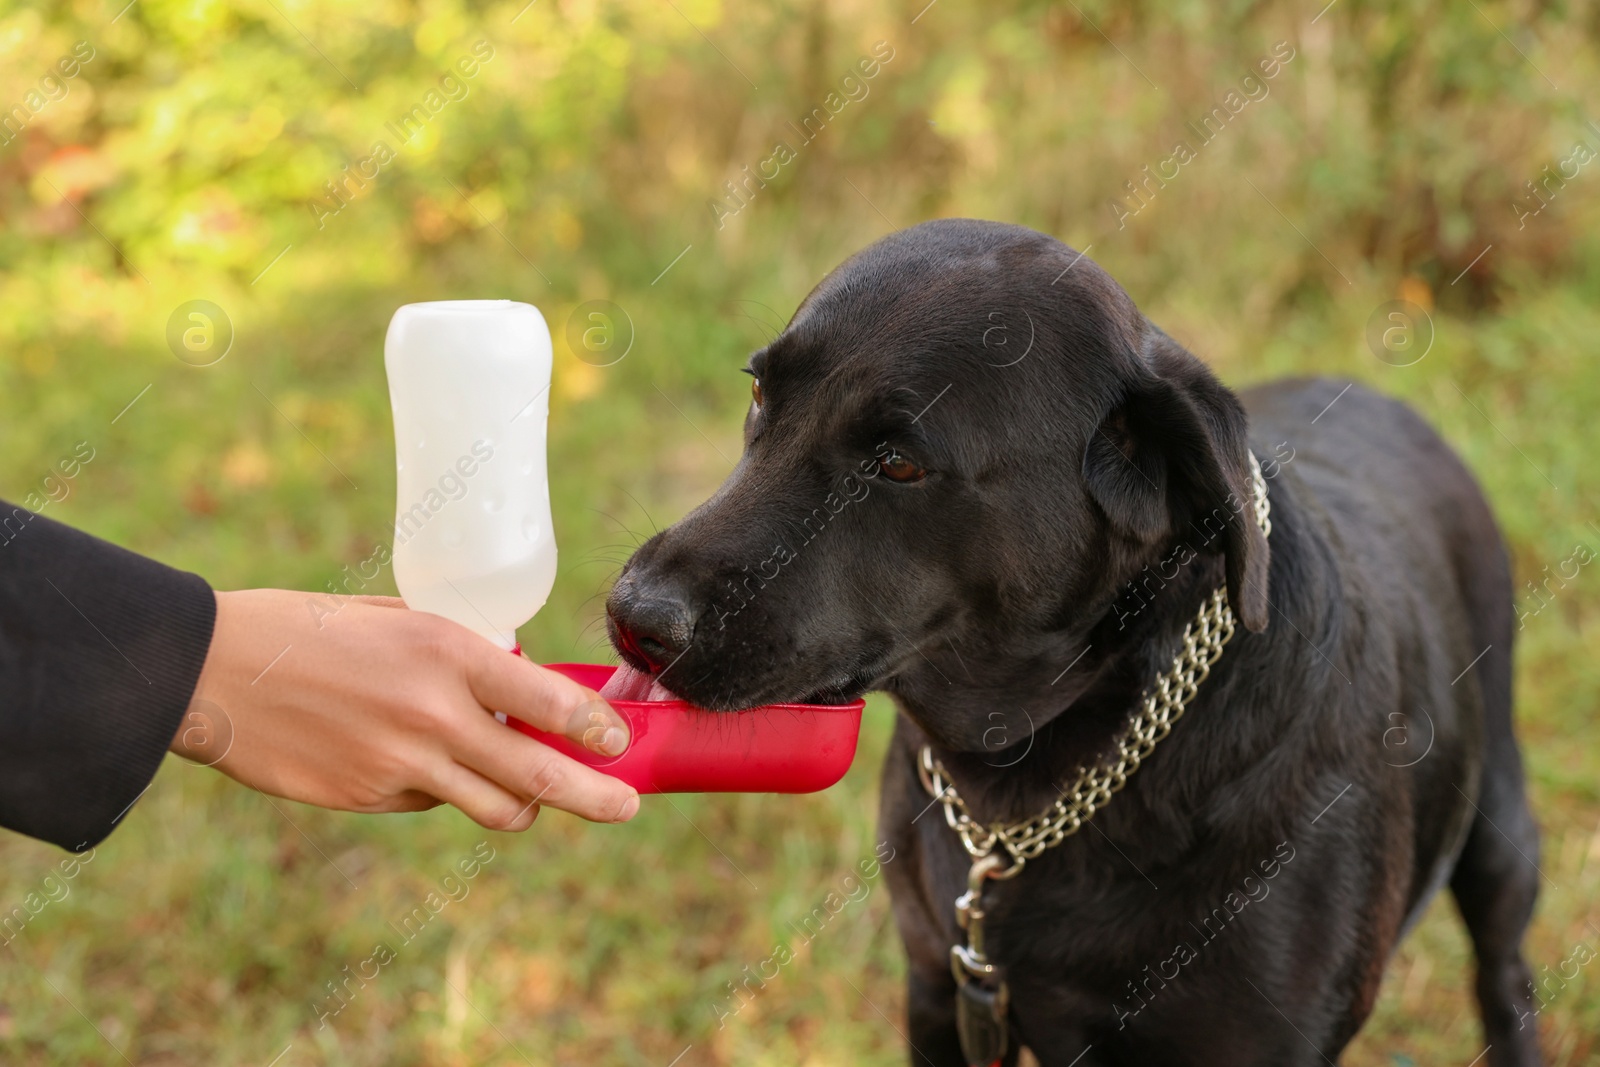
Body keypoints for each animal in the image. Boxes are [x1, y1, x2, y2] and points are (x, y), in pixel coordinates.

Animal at [601, 219, 1536, 1067]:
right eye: (762, 393)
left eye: (898, 462)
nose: (635, 615)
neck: (1025, 791)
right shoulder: (941, 990)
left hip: (1501, 833)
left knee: (1505, 977)